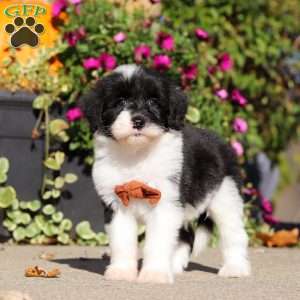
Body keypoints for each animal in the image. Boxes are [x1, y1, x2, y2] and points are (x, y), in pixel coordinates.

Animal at [81, 63, 251, 284]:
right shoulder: (118, 203)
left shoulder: (165, 203)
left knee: (233, 233)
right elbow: (122, 241)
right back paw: (175, 266)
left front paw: (154, 274)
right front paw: (122, 271)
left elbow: (158, 242)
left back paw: (235, 268)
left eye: (153, 101)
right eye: (120, 102)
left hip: (226, 195)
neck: (137, 154)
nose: (138, 120)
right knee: (185, 235)